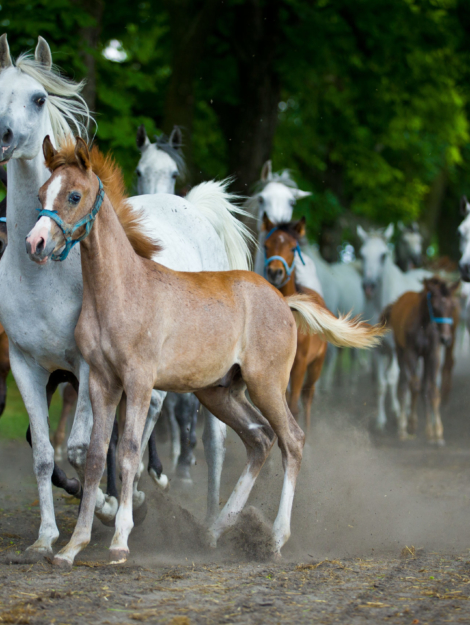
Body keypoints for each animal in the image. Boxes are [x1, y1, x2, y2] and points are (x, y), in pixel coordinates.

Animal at [0, 34, 253, 552]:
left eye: (37, 98)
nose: (4, 137)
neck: (41, 277)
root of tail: (193, 207)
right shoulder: (27, 364)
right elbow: (43, 452)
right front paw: (47, 536)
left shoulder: (86, 367)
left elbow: (84, 447)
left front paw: (105, 504)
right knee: (151, 410)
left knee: (215, 440)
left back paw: (211, 522)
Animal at [264, 212, 326, 432]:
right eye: (266, 245)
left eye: (292, 248)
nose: (275, 272)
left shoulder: (300, 363)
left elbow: (293, 406)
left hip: (317, 364)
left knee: (307, 397)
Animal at [356, 224, 426, 428]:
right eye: (362, 254)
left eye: (383, 255)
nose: (369, 285)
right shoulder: (377, 349)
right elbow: (381, 384)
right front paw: (380, 421)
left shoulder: (396, 349)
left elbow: (394, 378)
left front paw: (398, 415)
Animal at [382, 278, 458, 444]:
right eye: (435, 307)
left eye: (452, 306)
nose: (446, 339)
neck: (426, 326)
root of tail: (397, 302)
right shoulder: (411, 353)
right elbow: (414, 386)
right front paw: (411, 424)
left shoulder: (433, 354)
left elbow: (432, 390)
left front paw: (437, 433)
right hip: (401, 351)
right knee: (404, 384)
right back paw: (402, 427)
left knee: (423, 385)